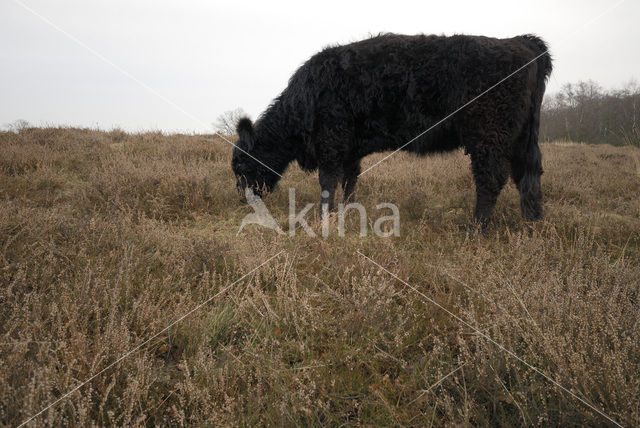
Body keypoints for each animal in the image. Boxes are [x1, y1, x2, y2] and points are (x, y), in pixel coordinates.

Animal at [232, 33, 552, 227]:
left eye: (241, 166)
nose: (243, 199)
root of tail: (522, 42)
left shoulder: (331, 142)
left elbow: (328, 182)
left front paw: (325, 216)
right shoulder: (350, 149)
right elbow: (350, 181)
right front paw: (346, 211)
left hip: (489, 137)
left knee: (491, 180)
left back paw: (476, 229)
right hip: (523, 139)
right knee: (528, 176)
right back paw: (531, 225)